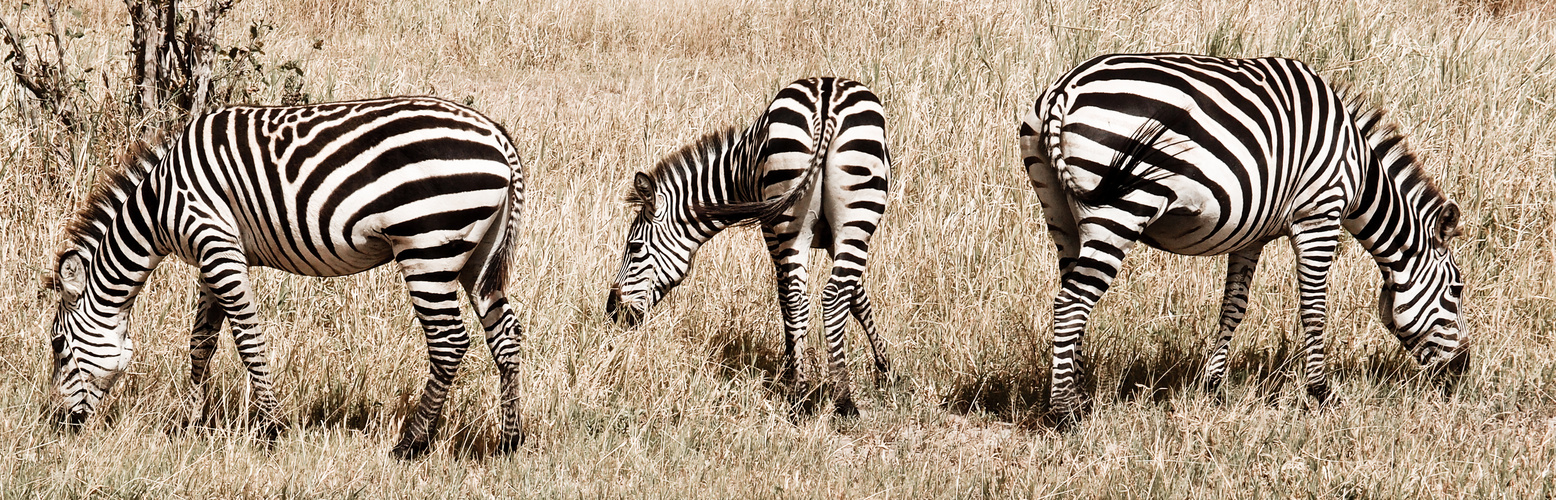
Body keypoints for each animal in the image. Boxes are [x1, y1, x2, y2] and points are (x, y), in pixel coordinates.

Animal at [44, 95, 529, 457]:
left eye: (58, 346)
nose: (58, 424)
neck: (159, 203)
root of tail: (498, 137)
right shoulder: (212, 253)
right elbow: (201, 342)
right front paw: (191, 422)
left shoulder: (215, 243)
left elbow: (247, 339)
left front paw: (270, 429)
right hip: (477, 255)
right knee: (505, 332)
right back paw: (509, 440)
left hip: (427, 246)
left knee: (449, 342)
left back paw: (410, 445)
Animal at [603, 77, 896, 411]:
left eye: (635, 247)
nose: (612, 312)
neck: (735, 172)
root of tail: (826, 101)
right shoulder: (806, 235)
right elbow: (853, 297)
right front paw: (882, 369)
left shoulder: (783, 230)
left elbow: (816, 296)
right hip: (837, 215)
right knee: (825, 295)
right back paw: (839, 397)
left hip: (816, 215)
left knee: (808, 296)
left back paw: (809, 395)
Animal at [1020, 53, 1468, 420]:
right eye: (1456, 290)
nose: (1463, 370)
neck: (1359, 174)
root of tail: (1065, 90)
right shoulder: (1318, 215)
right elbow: (1314, 309)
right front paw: (1322, 394)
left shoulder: (1250, 234)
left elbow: (1233, 307)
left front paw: (1213, 388)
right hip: (1120, 208)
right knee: (1072, 303)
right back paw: (1065, 413)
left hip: (1059, 209)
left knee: (1072, 296)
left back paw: (1079, 396)